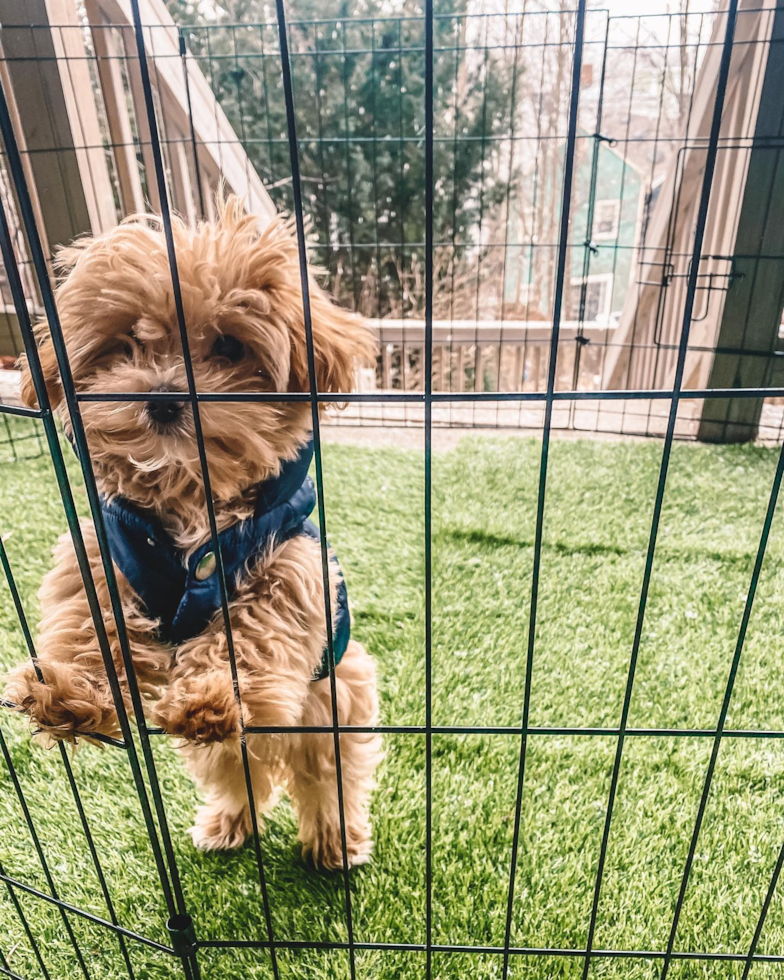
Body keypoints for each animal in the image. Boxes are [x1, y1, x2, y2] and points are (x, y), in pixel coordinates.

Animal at [4, 197, 384, 864]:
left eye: (229, 346)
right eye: (125, 344)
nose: (162, 396)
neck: (188, 499)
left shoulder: (285, 563)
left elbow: (253, 629)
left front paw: (212, 697)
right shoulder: (105, 556)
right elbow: (88, 623)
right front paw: (70, 693)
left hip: (333, 707)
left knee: (326, 780)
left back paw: (334, 845)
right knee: (237, 776)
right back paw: (227, 825)